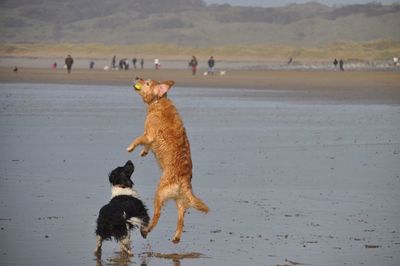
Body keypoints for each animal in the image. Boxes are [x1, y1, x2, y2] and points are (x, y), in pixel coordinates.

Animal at [126, 77, 209, 243]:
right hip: (179, 200)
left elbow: (139, 139)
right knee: (181, 218)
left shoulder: (149, 133)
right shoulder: (150, 138)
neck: (159, 101)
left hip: (159, 193)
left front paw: (131, 147)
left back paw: (146, 230)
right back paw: (176, 237)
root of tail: (184, 180)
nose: (137, 77)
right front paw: (143, 152)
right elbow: (147, 145)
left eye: (147, 83)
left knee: (157, 215)